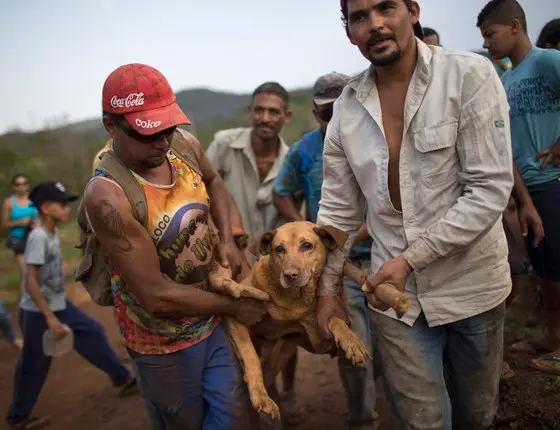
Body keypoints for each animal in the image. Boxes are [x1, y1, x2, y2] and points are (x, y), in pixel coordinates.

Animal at [209, 222, 372, 420]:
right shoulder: (236, 317)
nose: (289, 275)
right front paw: (261, 397)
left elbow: (334, 319)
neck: (293, 299)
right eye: (279, 249)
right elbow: (250, 356)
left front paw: (352, 341)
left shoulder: (318, 340)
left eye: (307, 246)